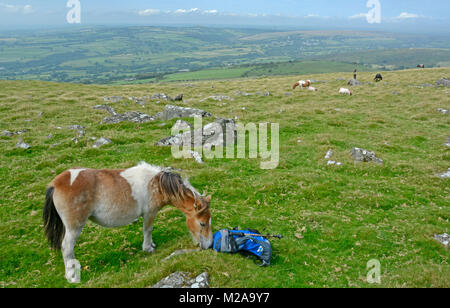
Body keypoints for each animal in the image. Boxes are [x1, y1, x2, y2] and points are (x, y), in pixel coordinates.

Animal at [43, 162, 212, 282]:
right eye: (202, 223)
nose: (209, 245)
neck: (156, 184)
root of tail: (55, 184)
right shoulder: (150, 213)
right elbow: (148, 230)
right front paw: (148, 248)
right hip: (74, 227)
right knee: (67, 247)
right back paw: (71, 275)